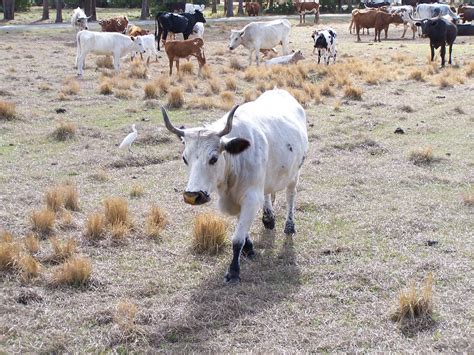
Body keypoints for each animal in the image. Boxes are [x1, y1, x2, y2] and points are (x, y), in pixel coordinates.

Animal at [161, 89, 310, 284]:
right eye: (185, 158)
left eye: (214, 158)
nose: (192, 196)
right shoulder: (238, 199)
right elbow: (241, 227)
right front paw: (249, 248)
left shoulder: (251, 198)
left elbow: (237, 238)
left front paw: (233, 271)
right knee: (267, 193)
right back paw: (268, 219)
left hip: (295, 173)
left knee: (290, 195)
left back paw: (289, 226)